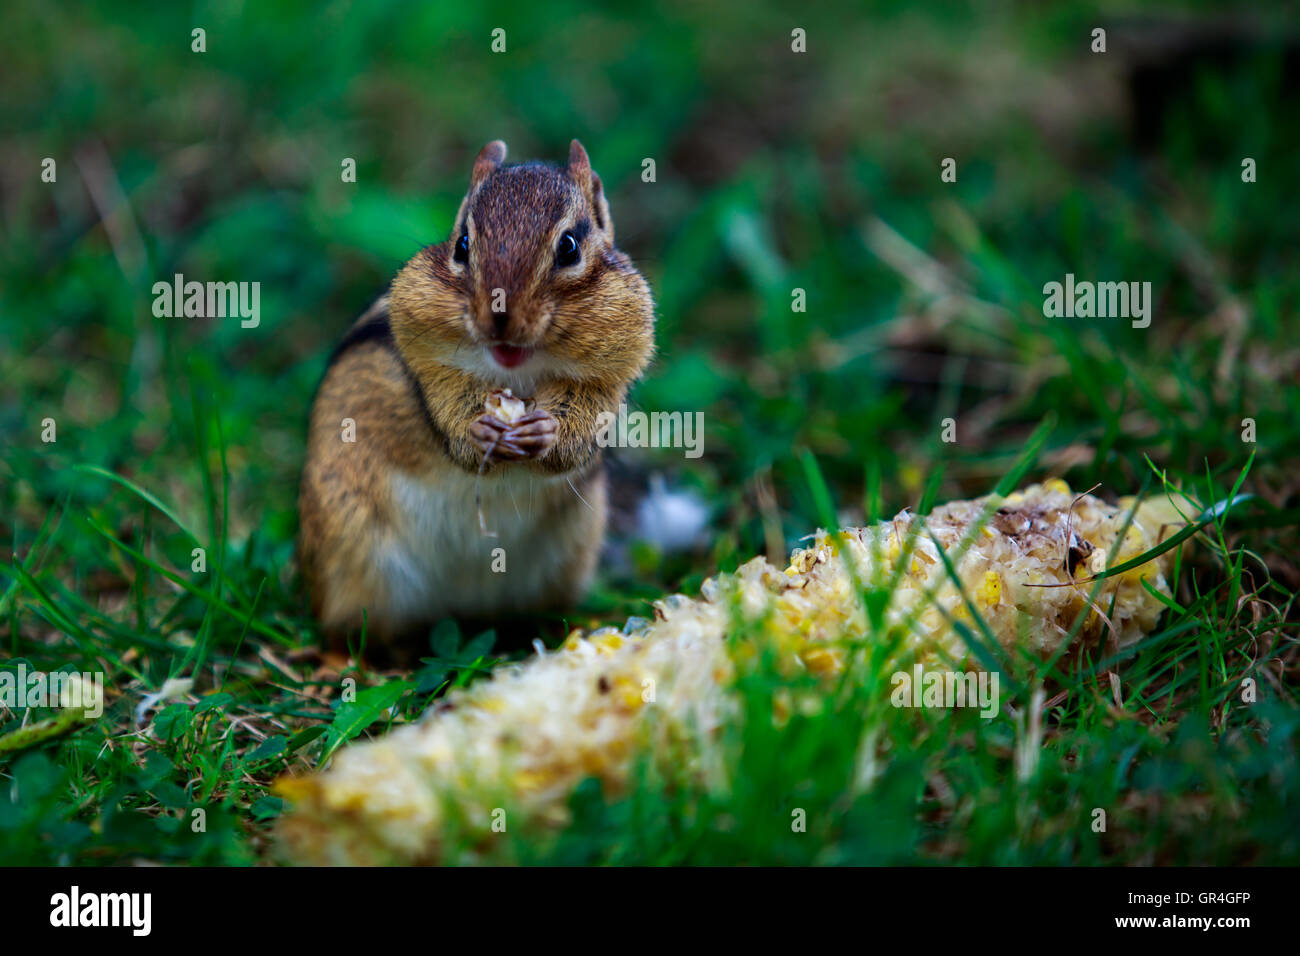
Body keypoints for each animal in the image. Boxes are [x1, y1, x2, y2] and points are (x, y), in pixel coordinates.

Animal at [298, 140, 655, 645]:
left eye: (569, 247)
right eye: (463, 246)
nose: (499, 318)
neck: (518, 376)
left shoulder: (607, 380)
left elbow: (578, 436)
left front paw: (546, 430)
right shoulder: (427, 368)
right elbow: (451, 416)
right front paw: (481, 430)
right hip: (348, 554)